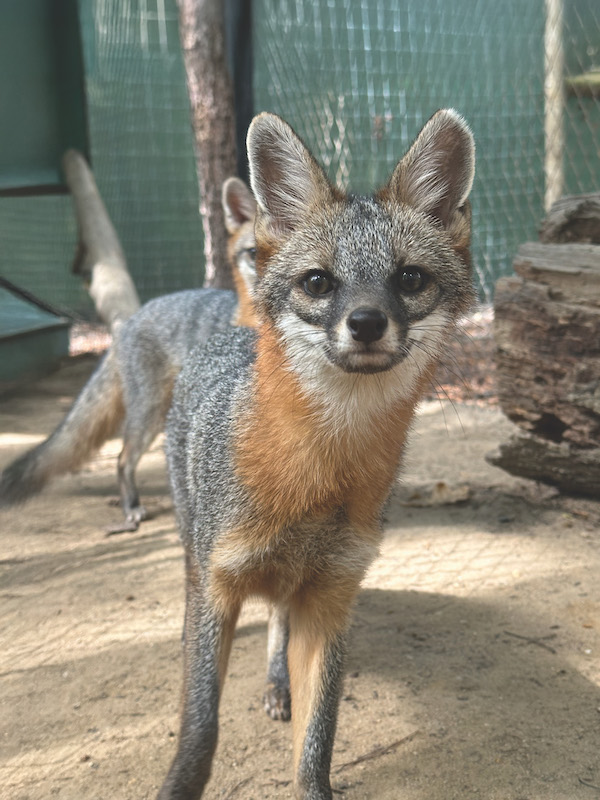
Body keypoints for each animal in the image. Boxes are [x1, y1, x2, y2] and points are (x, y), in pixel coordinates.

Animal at [158, 108, 475, 799]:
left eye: (409, 278)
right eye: (318, 282)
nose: (366, 322)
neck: (319, 475)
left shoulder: (332, 596)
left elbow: (317, 740)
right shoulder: (217, 586)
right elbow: (200, 727)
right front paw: (179, 782)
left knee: (280, 618)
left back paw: (278, 682)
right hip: (194, 552)